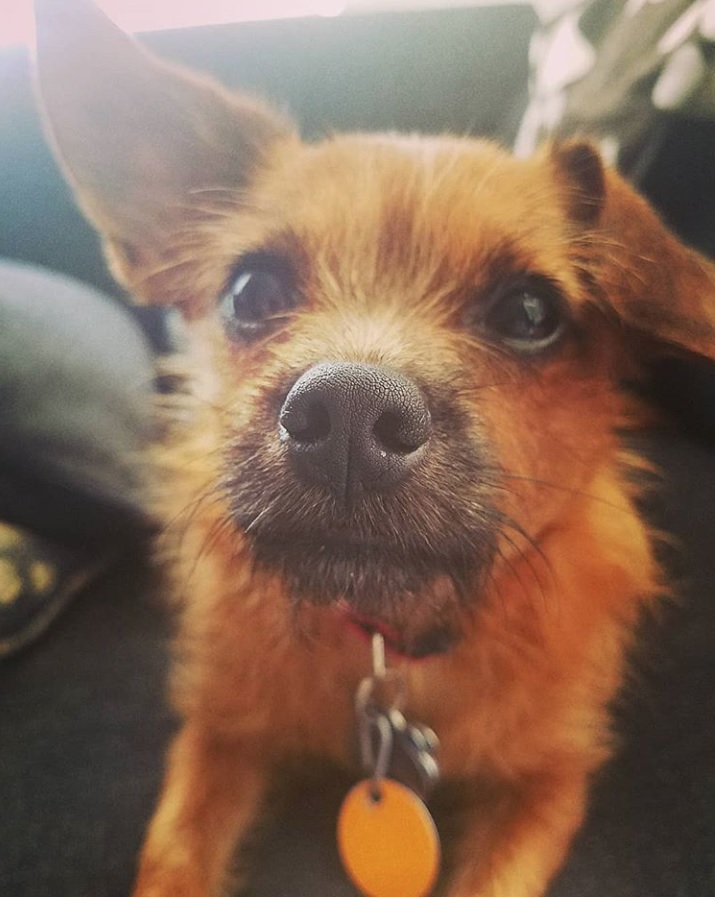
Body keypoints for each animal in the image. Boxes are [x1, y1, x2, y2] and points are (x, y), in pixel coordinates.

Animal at [33, 1, 715, 896]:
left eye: (531, 313)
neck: (390, 640)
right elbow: (172, 856)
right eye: (250, 291)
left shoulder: (546, 783)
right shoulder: (217, 734)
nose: (349, 415)